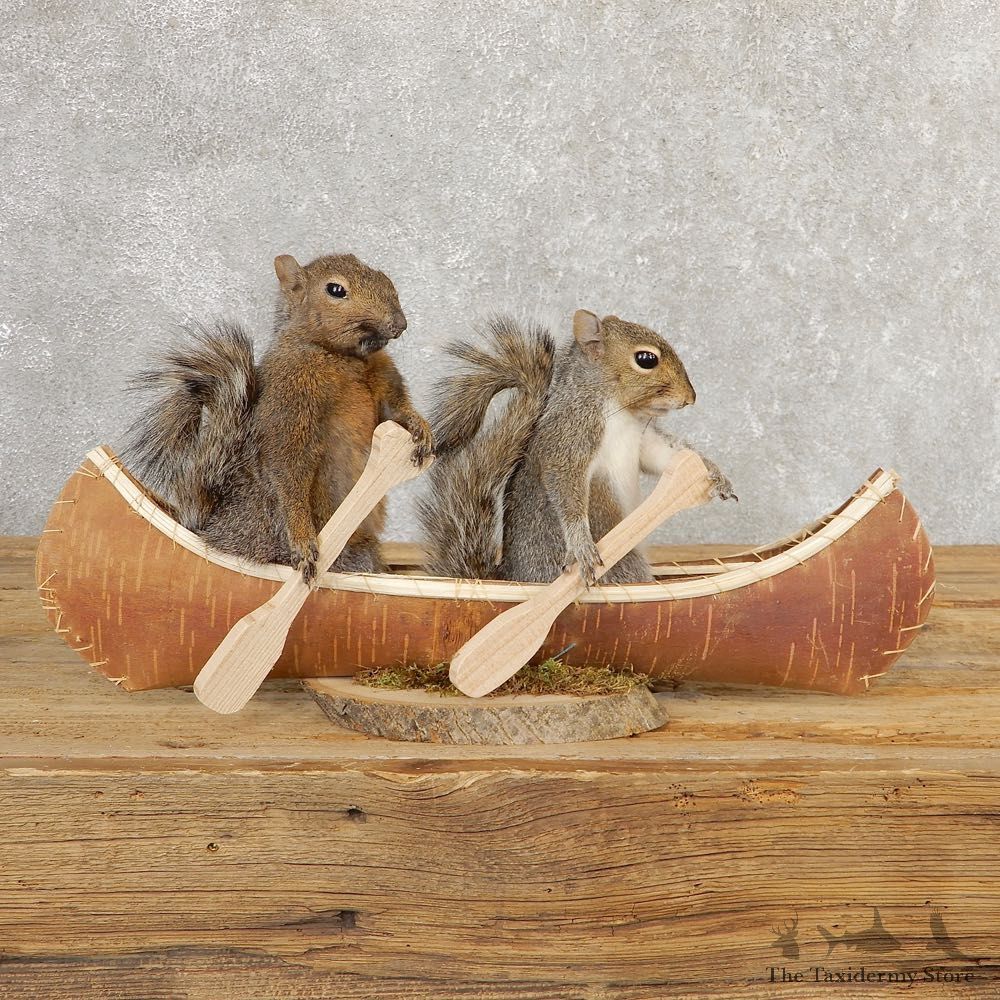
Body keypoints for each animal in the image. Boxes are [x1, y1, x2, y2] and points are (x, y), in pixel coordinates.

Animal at [126, 253, 433, 583]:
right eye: (336, 290)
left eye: (382, 274)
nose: (399, 323)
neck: (342, 357)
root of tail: (214, 533)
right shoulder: (290, 396)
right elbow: (288, 465)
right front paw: (302, 540)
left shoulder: (383, 377)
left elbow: (394, 409)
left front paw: (419, 427)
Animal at [418, 310, 735, 585]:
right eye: (646, 359)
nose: (690, 398)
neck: (618, 410)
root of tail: (510, 578)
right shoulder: (570, 437)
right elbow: (565, 486)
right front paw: (581, 543)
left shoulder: (642, 439)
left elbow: (663, 457)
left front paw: (713, 473)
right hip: (623, 561)